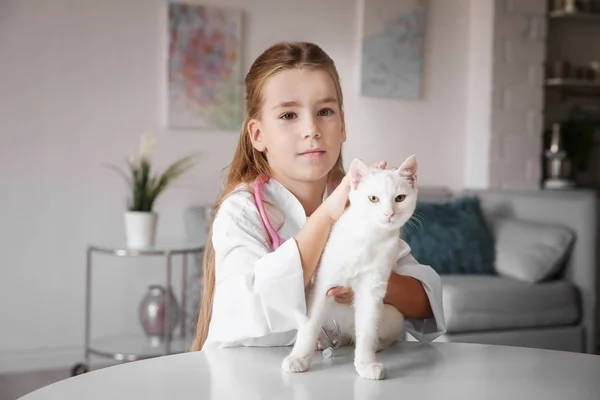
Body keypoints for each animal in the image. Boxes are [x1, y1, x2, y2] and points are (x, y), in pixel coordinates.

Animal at [280, 155, 418, 380]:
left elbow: (368, 330)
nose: (388, 213)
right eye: (373, 199)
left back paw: (376, 344)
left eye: (400, 198)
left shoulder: (373, 290)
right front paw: (299, 357)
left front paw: (366, 363)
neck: (369, 237)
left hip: (393, 314)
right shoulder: (323, 284)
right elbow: (310, 323)